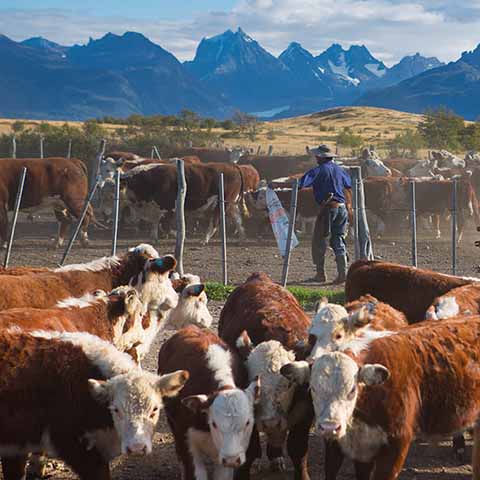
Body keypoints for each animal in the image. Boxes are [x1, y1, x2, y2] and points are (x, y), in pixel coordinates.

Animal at [218, 272, 312, 478]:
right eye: (255, 385)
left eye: (288, 384)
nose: (270, 423)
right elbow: (250, 451)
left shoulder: (305, 409)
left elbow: (298, 449)